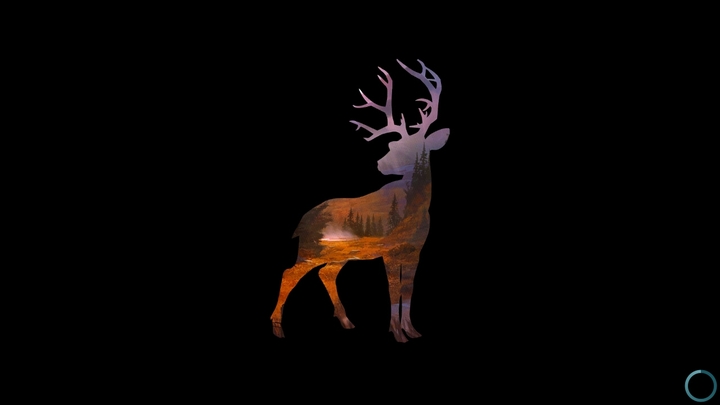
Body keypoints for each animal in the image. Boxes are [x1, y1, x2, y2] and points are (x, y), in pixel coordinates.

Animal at [270, 59, 449, 343]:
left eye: (407, 147)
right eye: (392, 145)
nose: (379, 164)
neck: (415, 210)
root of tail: (301, 222)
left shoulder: (415, 249)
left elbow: (408, 290)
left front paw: (412, 330)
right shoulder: (389, 248)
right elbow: (393, 289)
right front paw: (397, 333)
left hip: (339, 253)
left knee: (326, 273)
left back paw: (346, 320)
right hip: (311, 248)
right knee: (289, 273)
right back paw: (277, 326)